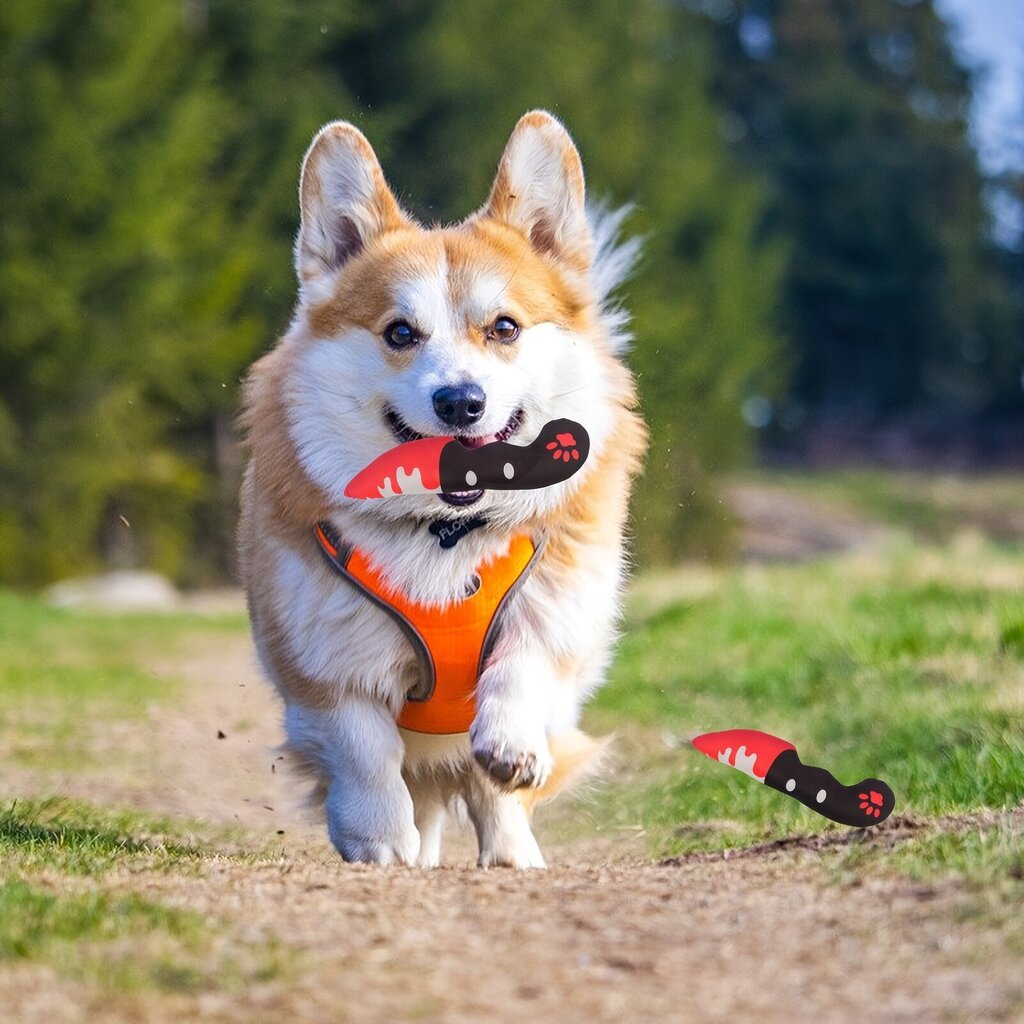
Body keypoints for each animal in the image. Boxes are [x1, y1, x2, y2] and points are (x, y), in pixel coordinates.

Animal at [235, 110, 643, 864]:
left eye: (505, 327)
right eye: (400, 333)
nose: (460, 402)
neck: (446, 530)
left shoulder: (556, 610)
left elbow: (523, 667)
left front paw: (510, 746)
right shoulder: (325, 666)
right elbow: (365, 750)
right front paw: (379, 839)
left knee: (490, 796)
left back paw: (513, 854)